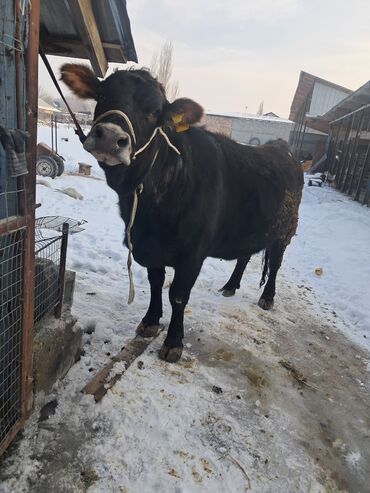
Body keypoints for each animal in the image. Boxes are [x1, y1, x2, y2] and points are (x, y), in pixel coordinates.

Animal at [61, 65, 304, 362]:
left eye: (154, 111)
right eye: (103, 94)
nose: (108, 136)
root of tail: (283, 147)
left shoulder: (192, 253)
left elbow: (178, 295)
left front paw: (174, 341)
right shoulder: (150, 248)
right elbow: (156, 282)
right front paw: (150, 321)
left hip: (286, 230)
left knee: (276, 263)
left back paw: (267, 297)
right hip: (250, 228)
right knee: (244, 255)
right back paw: (230, 285)